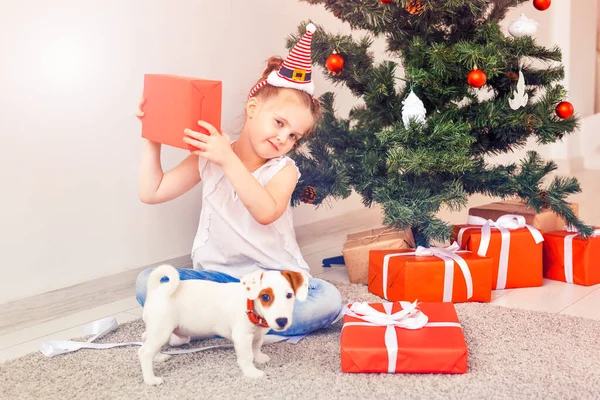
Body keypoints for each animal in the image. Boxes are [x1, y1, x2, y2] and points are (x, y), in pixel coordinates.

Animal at [138, 264, 308, 386]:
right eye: (265, 297)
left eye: (289, 295)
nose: (282, 321)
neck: (250, 307)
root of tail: (157, 289)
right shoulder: (242, 337)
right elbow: (247, 356)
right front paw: (251, 372)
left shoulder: (258, 335)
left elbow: (256, 347)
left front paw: (259, 358)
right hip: (162, 330)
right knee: (144, 352)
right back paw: (151, 379)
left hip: (159, 331)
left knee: (146, 342)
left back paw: (159, 357)